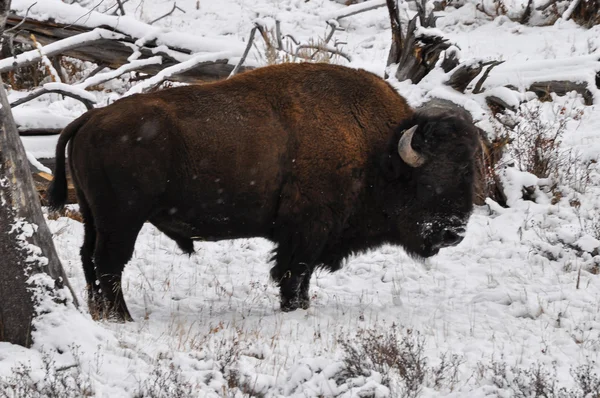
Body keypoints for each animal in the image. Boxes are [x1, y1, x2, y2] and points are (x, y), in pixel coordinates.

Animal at [48, 63, 478, 324]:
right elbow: (293, 273)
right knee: (109, 262)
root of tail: (90, 117)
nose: (454, 233)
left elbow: (302, 277)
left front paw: (302, 307)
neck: (377, 149)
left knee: (89, 258)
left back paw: (100, 313)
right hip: (123, 218)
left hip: (93, 215)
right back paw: (123, 317)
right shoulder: (306, 231)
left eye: (470, 172)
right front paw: (293, 310)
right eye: (431, 180)